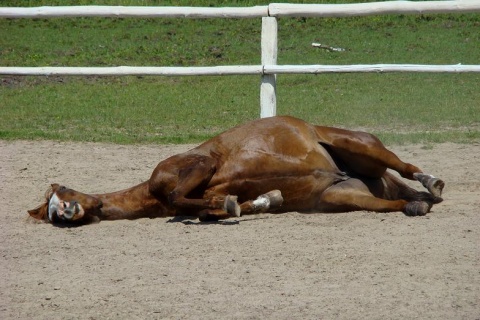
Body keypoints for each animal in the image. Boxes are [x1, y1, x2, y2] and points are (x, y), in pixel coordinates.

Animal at [28, 115, 444, 225]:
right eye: (49, 212)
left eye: (62, 192)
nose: (64, 213)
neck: (149, 193)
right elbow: (212, 209)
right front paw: (256, 202)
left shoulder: (199, 163)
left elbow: (178, 193)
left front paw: (236, 204)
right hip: (343, 196)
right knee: (397, 203)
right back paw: (416, 204)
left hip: (359, 147)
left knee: (406, 166)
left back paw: (431, 183)